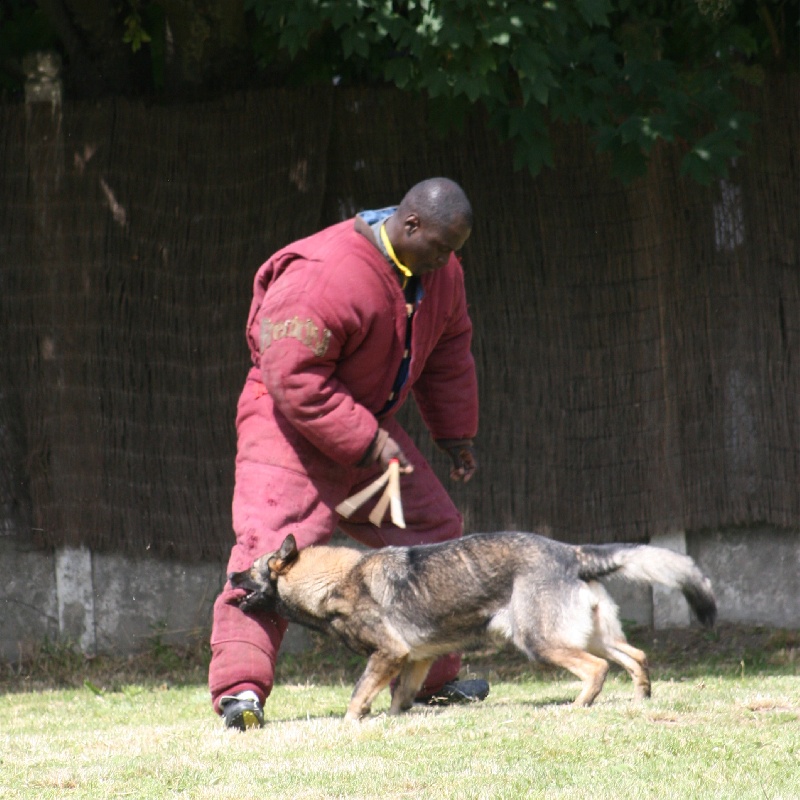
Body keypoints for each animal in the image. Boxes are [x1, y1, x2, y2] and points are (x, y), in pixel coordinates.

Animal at [228, 528, 716, 720]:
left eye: (252, 569)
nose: (229, 576)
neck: (338, 580)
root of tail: (570, 552)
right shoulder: (414, 660)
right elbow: (399, 697)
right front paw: (395, 719)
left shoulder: (389, 653)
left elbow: (357, 695)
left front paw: (351, 723)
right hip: (593, 635)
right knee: (635, 656)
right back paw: (640, 699)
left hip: (541, 640)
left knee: (596, 669)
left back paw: (577, 706)